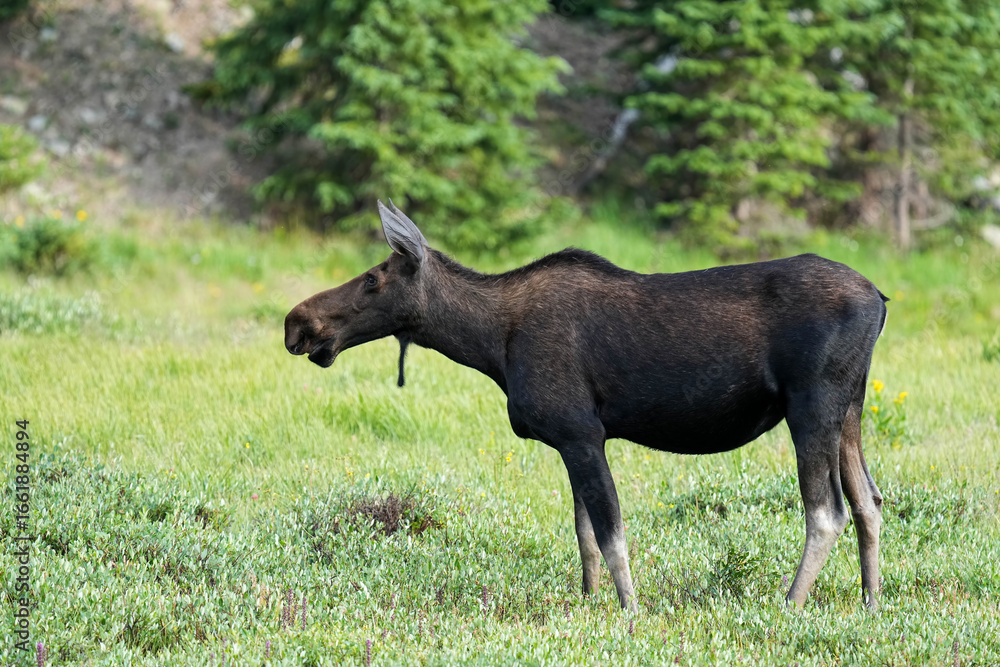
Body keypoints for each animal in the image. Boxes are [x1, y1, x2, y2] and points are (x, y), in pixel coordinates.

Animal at [284, 200, 888, 612]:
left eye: (371, 280)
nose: (297, 323)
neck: (489, 344)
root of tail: (880, 300)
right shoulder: (569, 442)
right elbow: (585, 536)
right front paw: (591, 602)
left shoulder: (580, 433)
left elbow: (611, 533)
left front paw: (630, 610)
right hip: (848, 410)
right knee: (869, 502)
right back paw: (870, 602)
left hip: (811, 404)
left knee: (826, 512)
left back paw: (790, 604)